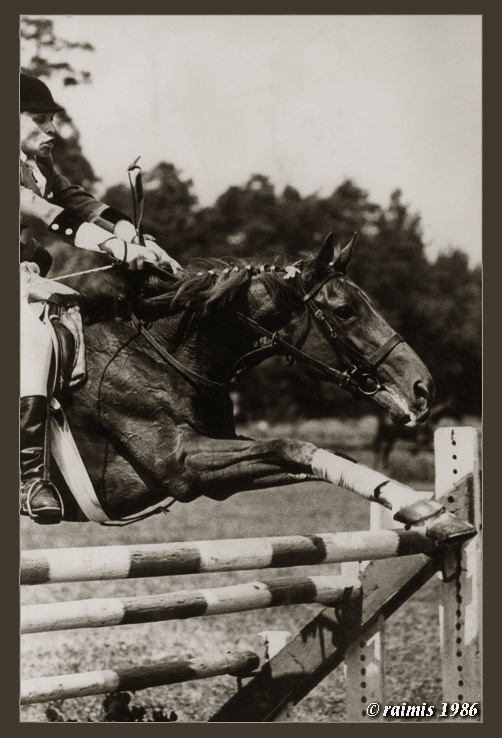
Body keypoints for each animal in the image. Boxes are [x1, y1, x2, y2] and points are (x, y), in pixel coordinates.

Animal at [44, 233, 437, 526]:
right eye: (345, 311)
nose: (422, 386)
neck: (163, 357)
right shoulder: (182, 463)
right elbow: (292, 447)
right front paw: (424, 510)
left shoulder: (217, 465)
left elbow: (325, 459)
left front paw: (410, 501)